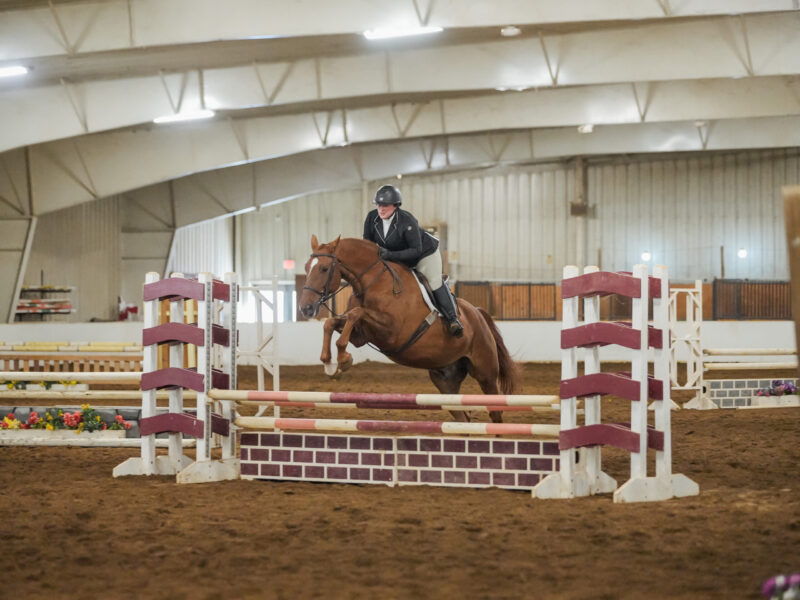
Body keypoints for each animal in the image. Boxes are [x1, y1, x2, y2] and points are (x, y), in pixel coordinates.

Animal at [298, 235, 519, 423]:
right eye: (307, 267)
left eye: (324, 269)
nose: (305, 308)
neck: (373, 282)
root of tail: (478, 313)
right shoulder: (361, 335)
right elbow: (332, 323)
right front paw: (330, 364)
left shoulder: (393, 331)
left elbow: (355, 313)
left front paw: (343, 359)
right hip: (445, 379)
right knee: (462, 416)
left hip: (485, 373)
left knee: (495, 412)